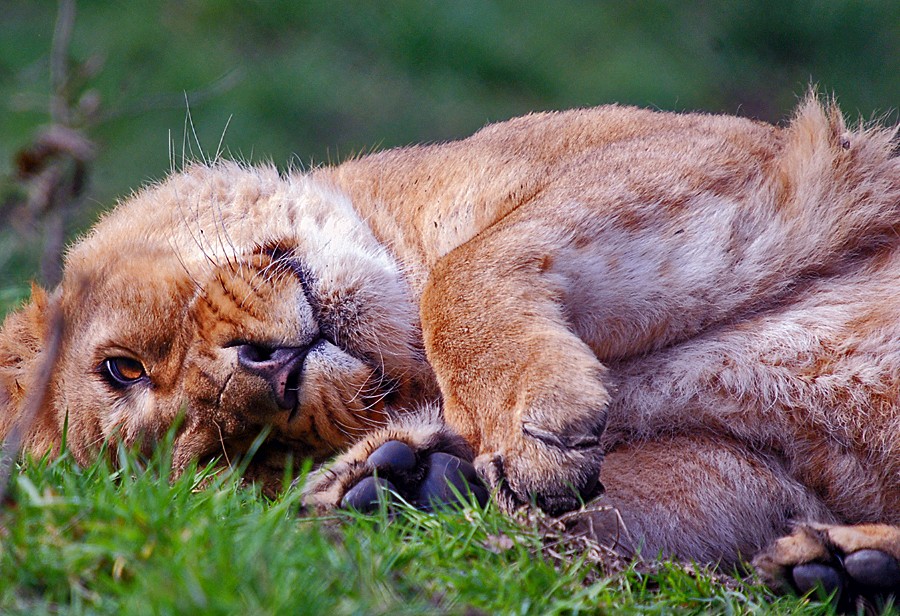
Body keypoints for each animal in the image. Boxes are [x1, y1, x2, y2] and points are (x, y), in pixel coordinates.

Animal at [1, 96, 898, 606]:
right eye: (248, 454)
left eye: (123, 366)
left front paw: (521, 427)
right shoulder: (750, 466)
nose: (267, 377)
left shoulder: (749, 158)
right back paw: (844, 571)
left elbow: (462, 273)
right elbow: (659, 504)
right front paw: (404, 483)